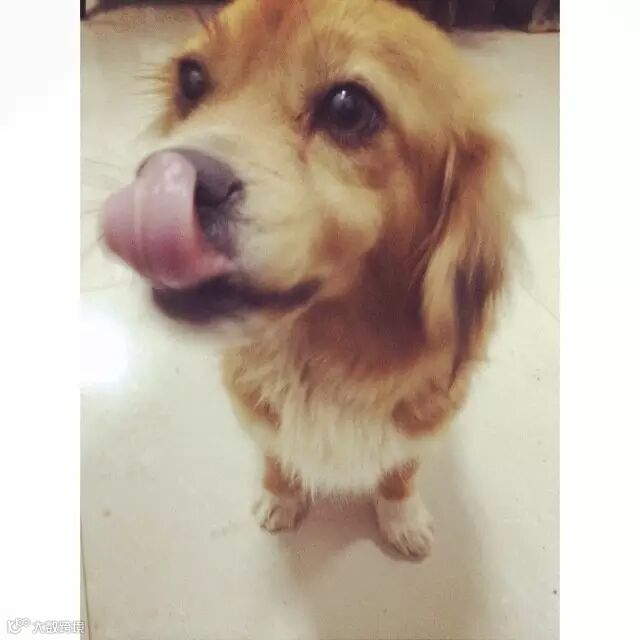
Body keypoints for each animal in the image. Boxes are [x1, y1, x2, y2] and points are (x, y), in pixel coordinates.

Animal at [102, 0, 515, 559]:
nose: (160, 182)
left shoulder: (421, 423)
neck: (320, 358)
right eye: (191, 79)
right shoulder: (261, 418)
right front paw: (281, 497)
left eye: (347, 108)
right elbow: (278, 458)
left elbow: (400, 471)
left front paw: (401, 516)